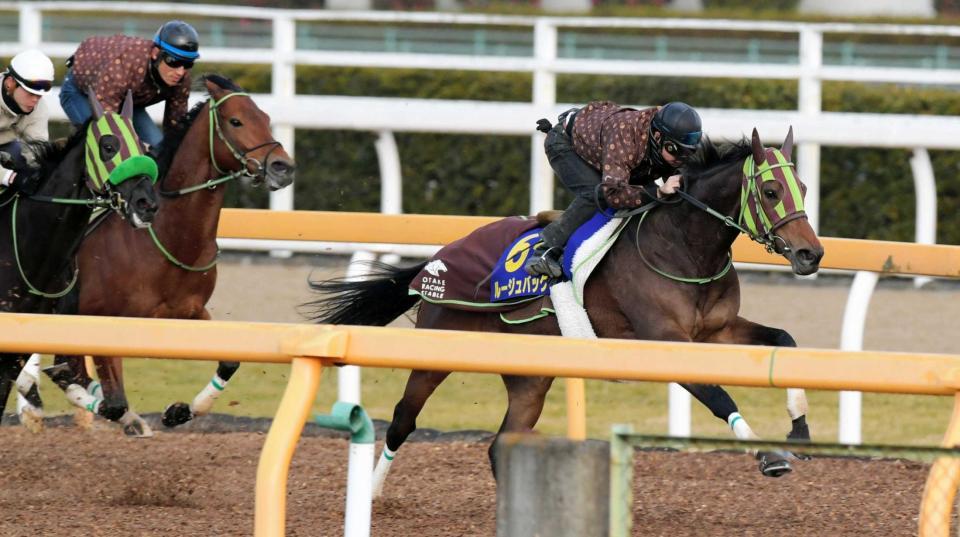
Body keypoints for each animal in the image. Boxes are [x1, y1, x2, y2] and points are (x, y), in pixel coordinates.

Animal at [47, 74, 296, 436]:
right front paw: (133, 418)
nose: (283, 167)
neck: (170, 239)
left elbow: (230, 362)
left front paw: (178, 411)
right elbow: (111, 398)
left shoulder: (190, 311)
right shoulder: (100, 321)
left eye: (264, 117)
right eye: (235, 121)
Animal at [306, 129, 824, 490]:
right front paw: (767, 456)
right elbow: (719, 397)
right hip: (439, 348)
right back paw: (372, 493)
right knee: (403, 420)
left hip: (530, 377)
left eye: (801, 185)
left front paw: (799, 431)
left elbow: (784, 341)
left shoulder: (716, 331)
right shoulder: (667, 340)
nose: (811, 254)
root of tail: (436, 258)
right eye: (772, 192)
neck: (683, 247)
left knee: (501, 444)